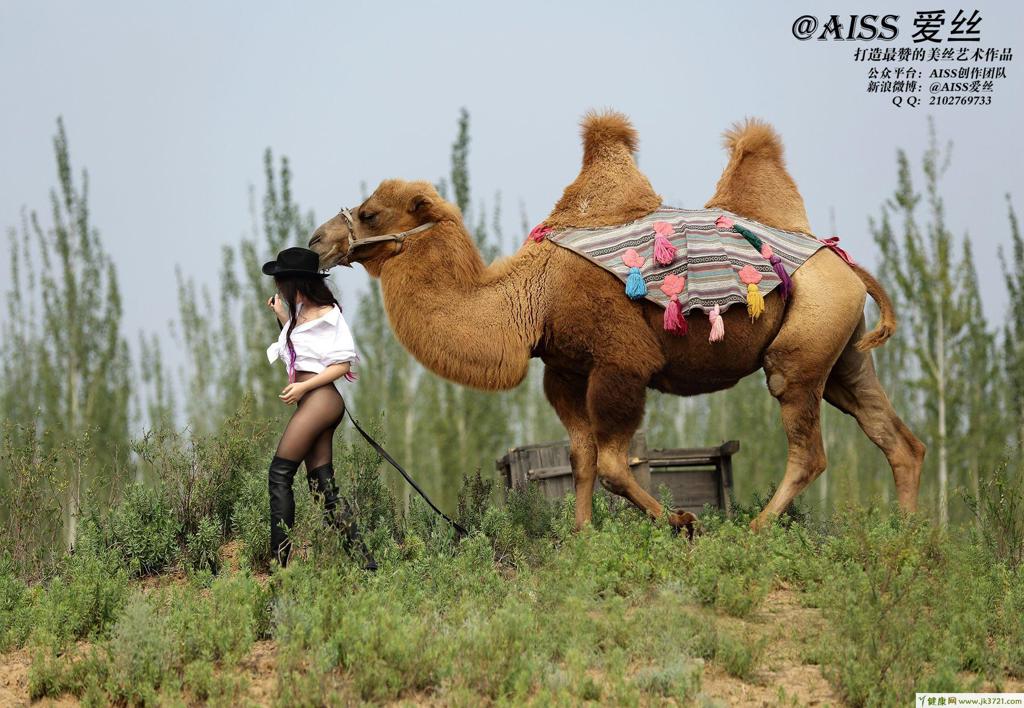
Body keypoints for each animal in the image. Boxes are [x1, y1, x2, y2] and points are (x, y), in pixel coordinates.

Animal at [307, 110, 925, 532]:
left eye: (369, 213)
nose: (316, 241)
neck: (532, 298)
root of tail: (843, 262)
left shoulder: (621, 362)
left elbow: (611, 462)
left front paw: (681, 521)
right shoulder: (564, 370)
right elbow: (580, 456)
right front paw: (581, 533)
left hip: (801, 349)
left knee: (808, 445)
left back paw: (755, 528)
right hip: (844, 351)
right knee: (896, 438)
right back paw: (907, 534)